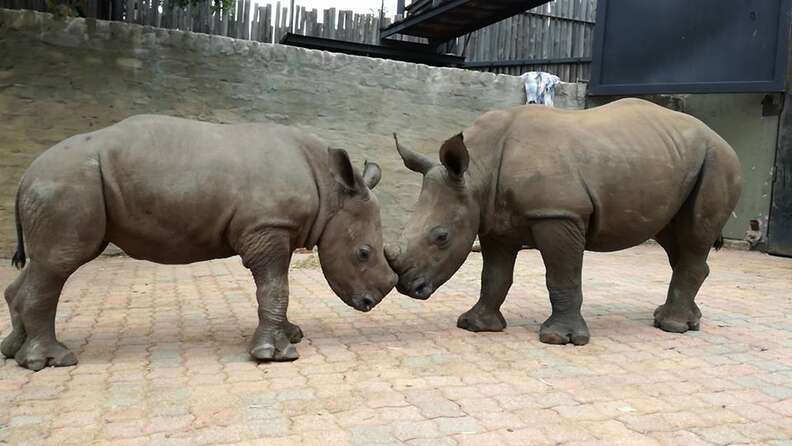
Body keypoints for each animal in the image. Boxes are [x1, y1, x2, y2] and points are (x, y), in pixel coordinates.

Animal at [3, 115, 397, 370]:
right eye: (363, 253)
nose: (371, 302)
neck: (331, 191)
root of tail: (25, 175)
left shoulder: (276, 229)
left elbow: (278, 286)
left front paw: (292, 335)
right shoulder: (266, 228)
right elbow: (274, 287)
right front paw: (276, 355)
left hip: (60, 183)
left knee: (43, 265)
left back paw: (15, 353)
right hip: (65, 184)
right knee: (58, 265)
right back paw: (52, 360)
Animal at [386, 98, 742, 345]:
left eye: (441, 237)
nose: (406, 287)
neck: (478, 173)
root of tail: (721, 137)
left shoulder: (557, 213)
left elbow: (562, 275)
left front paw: (560, 339)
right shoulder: (493, 221)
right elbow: (494, 276)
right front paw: (476, 326)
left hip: (719, 161)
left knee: (694, 234)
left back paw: (673, 326)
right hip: (673, 159)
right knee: (674, 238)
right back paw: (686, 320)